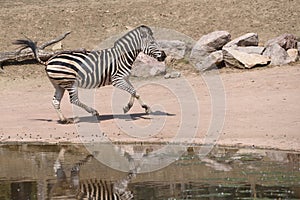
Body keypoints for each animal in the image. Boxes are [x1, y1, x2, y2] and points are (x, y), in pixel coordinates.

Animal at [14, 25, 166, 123]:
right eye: (152, 42)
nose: (164, 56)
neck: (122, 57)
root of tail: (48, 61)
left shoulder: (124, 78)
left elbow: (135, 92)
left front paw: (132, 107)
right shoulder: (117, 79)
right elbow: (134, 92)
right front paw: (141, 109)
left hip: (59, 85)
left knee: (55, 101)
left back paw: (64, 120)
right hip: (69, 82)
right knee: (73, 100)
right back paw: (93, 112)